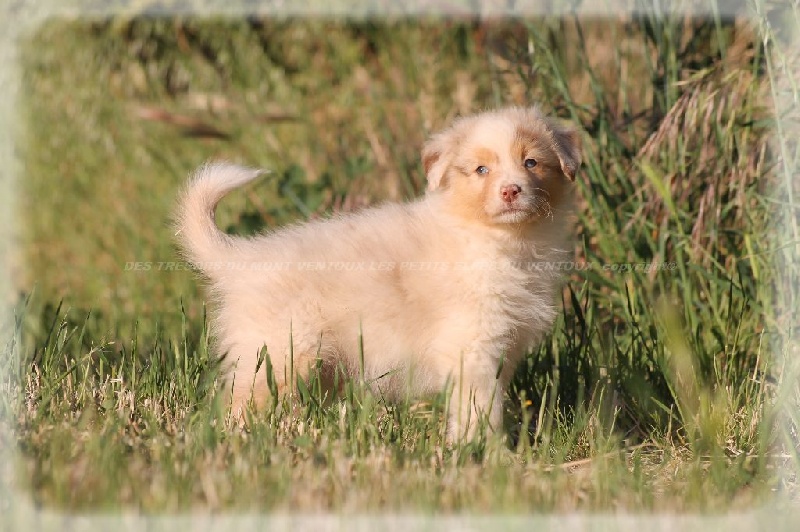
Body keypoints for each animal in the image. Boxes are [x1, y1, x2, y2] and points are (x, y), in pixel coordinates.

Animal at [175, 106, 581, 441]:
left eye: (531, 163)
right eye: (482, 170)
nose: (511, 190)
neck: (496, 238)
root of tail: (242, 258)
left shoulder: (501, 347)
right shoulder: (472, 346)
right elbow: (479, 408)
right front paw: (481, 450)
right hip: (279, 354)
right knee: (242, 406)